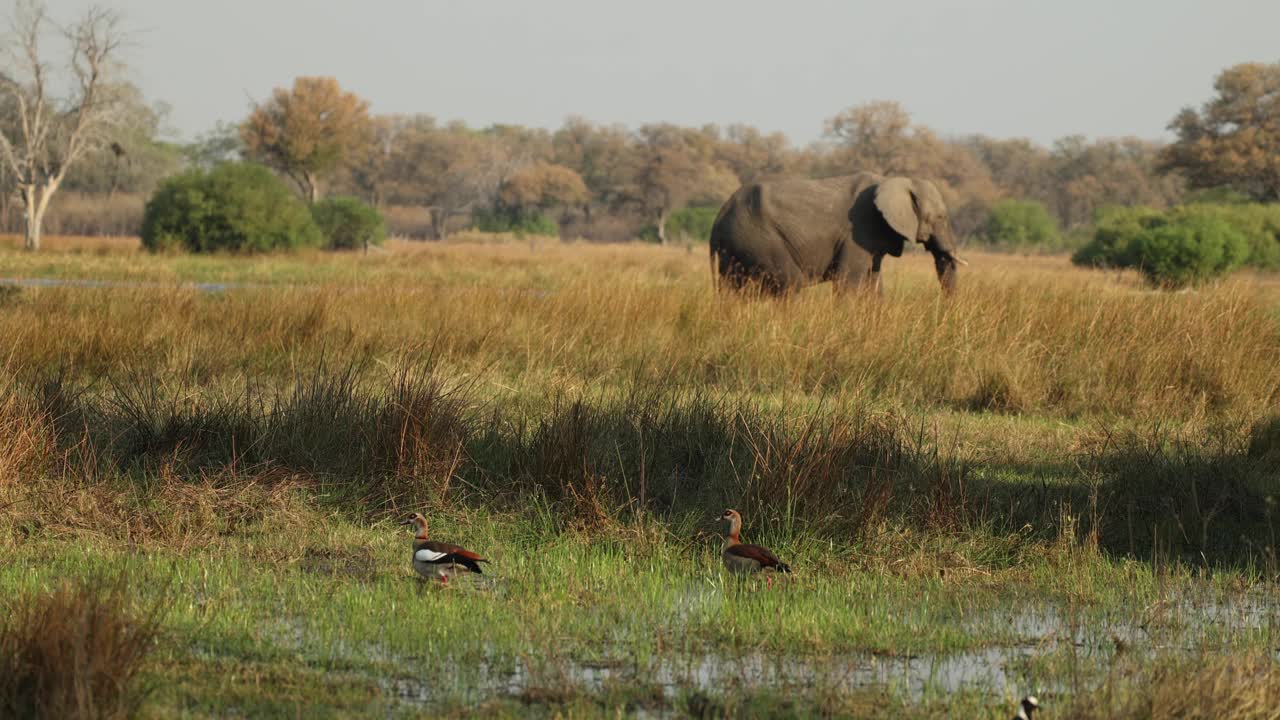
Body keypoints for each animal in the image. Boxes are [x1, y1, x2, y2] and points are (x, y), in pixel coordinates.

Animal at [708, 172, 967, 295]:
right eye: (940, 217)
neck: (896, 180)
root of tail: (719, 216)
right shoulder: (858, 233)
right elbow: (848, 283)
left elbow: (873, 282)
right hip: (760, 240)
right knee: (790, 285)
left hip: (736, 247)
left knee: (733, 291)